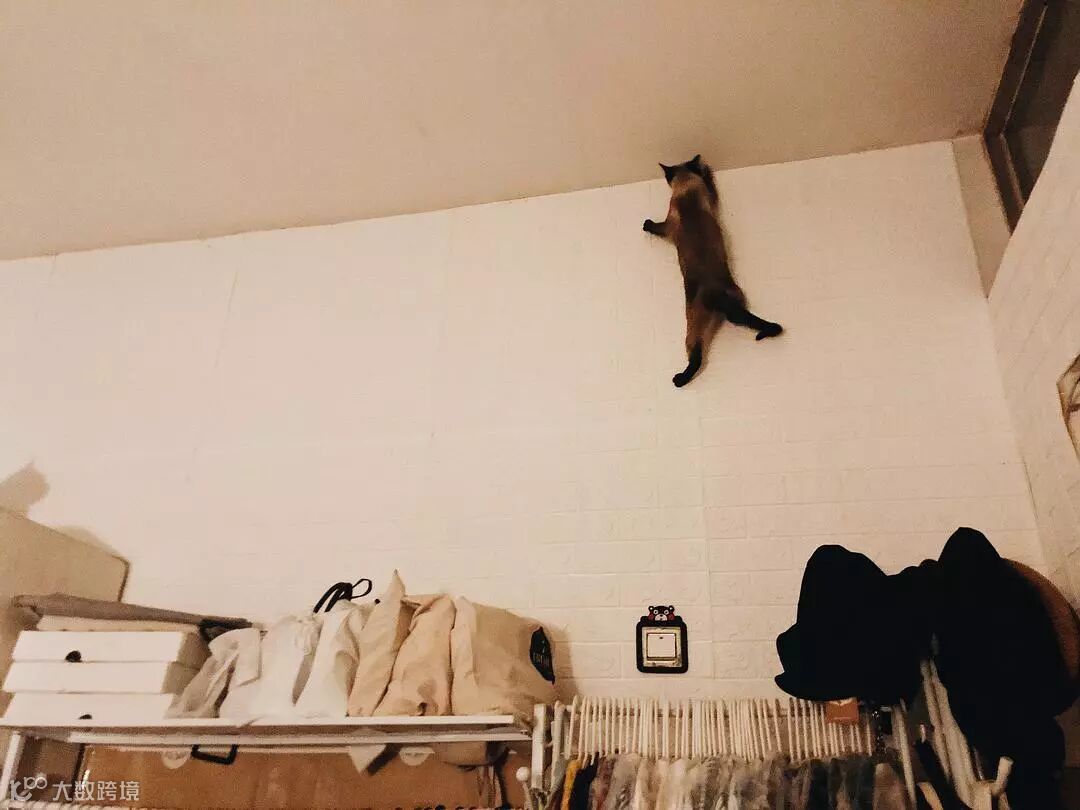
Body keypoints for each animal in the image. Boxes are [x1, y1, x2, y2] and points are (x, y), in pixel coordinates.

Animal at [643, 155, 783, 387]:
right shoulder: (709, 197)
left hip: (691, 326)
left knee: (696, 356)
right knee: (738, 318)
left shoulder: (667, 225)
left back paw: (679, 380)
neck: (686, 189)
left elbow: (656, 227)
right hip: (734, 301)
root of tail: (715, 293)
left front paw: (646, 224)